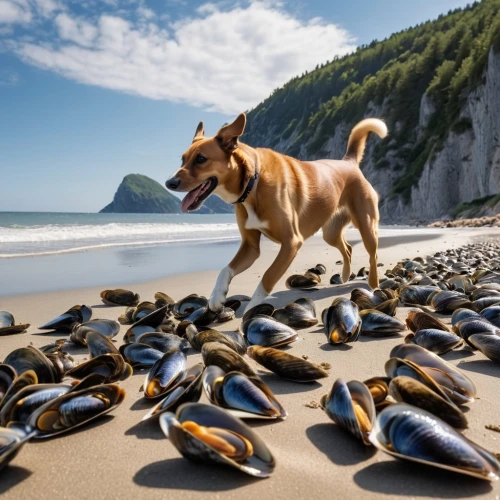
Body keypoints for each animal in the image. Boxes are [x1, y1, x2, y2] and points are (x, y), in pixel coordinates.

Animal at [167, 113, 386, 312]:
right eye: (183, 160)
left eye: (201, 159)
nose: (169, 183)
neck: (253, 183)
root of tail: (348, 162)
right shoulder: (250, 247)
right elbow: (225, 269)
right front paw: (216, 296)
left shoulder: (291, 242)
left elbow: (268, 276)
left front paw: (252, 309)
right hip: (330, 232)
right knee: (347, 248)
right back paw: (346, 275)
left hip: (366, 226)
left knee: (372, 255)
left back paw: (374, 288)